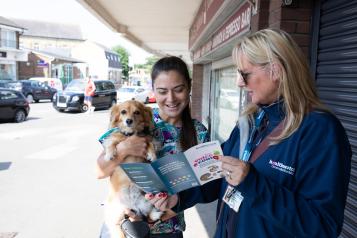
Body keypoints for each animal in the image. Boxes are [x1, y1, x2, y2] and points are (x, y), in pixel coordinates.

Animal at [102, 100, 162, 238]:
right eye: (123, 112)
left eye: (137, 112)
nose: (128, 120)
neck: (130, 134)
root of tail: (132, 206)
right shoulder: (114, 139)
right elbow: (112, 143)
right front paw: (110, 154)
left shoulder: (148, 139)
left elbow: (150, 143)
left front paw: (152, 155)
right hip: (116, 216)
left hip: (146, 201)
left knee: (149, 213)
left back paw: (156, 214)